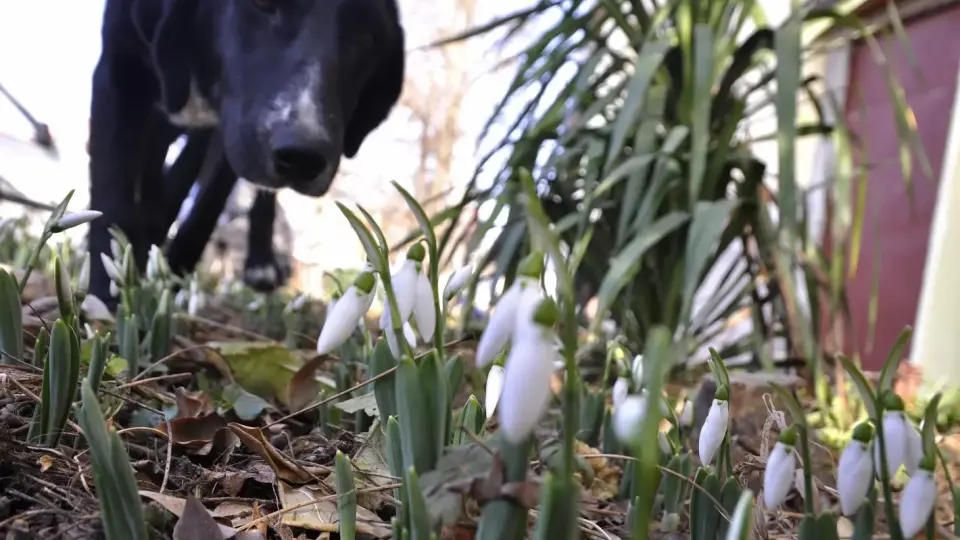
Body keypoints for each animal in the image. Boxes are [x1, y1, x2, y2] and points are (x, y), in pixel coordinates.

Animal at [87, 0, 404, 304]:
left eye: (365, 36)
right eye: (261, 2)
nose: (303, 159)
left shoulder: (227, 135)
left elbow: (204, 208)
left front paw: (169, 279)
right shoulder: (119, 70)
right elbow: (115, 201)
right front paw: (107, 300)